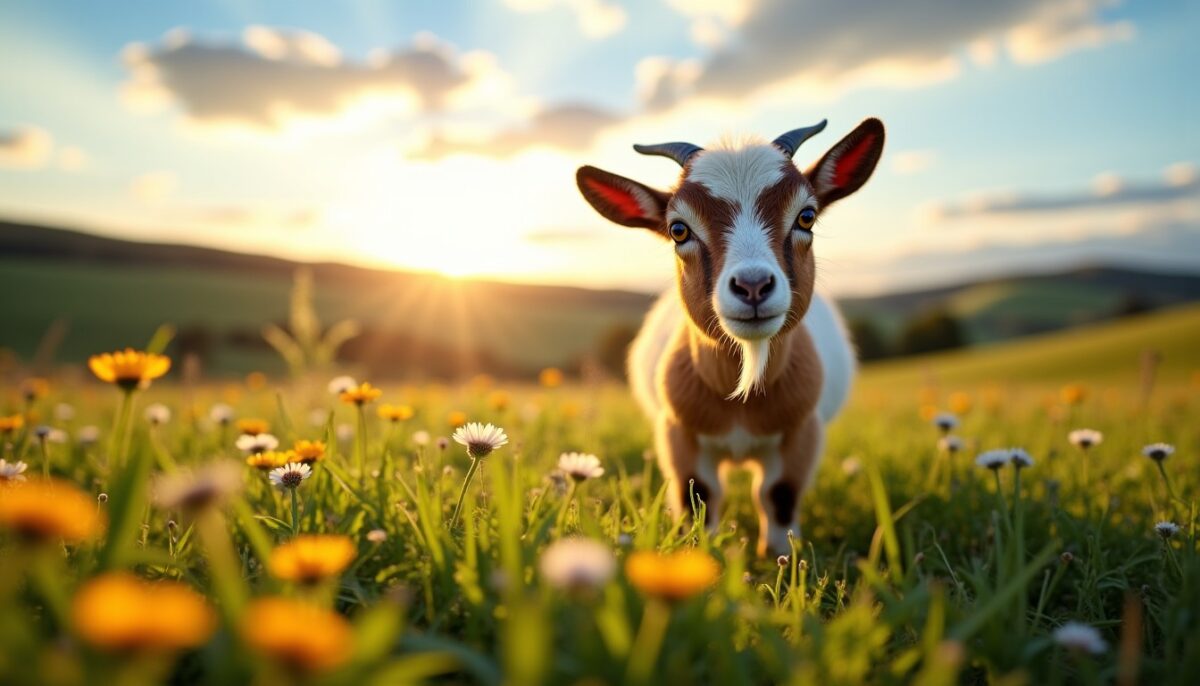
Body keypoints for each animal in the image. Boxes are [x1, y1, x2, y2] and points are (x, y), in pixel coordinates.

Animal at [575, 118, 884, 555]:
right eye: (678, 229)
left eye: (806, 216)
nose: (753, 285)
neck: (741, 399)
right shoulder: (679, 435)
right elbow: (699, 496)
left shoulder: (801, 433)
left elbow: (779, 494)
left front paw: (782, 560)